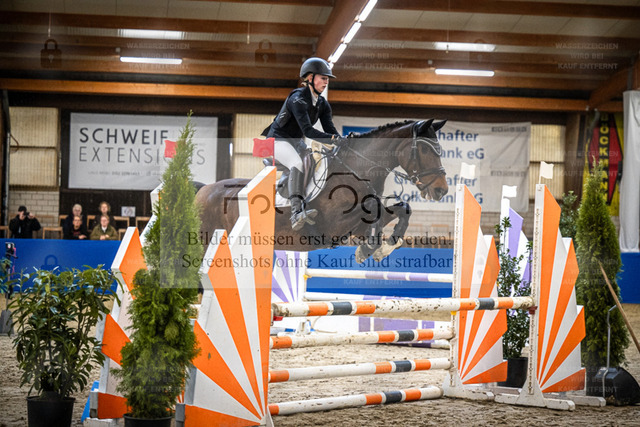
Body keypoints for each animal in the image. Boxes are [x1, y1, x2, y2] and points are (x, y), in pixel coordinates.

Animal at [196, 119, 448, 263]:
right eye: (425, 150)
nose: (442, 190)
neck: (356, 169)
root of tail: (204, 189)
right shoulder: (333, 224)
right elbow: (375, 208)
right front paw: (369, 248)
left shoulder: (355, 227)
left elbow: (402, 208)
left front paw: (380, 248)